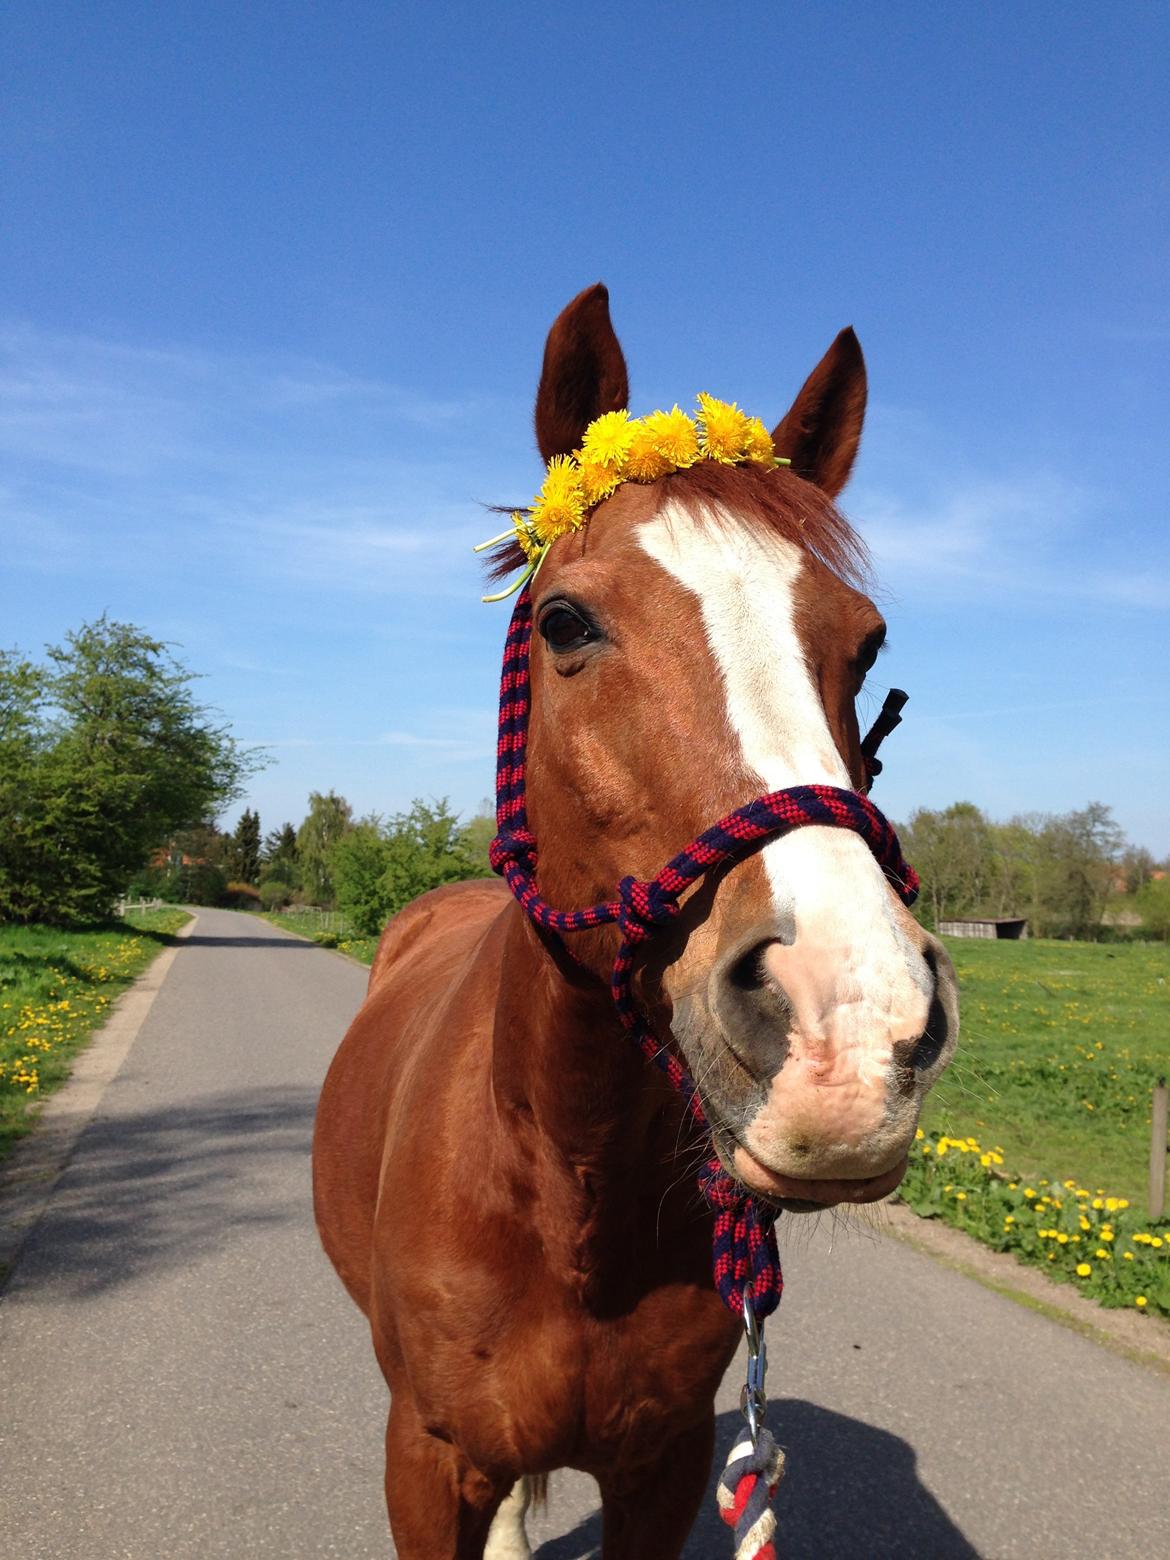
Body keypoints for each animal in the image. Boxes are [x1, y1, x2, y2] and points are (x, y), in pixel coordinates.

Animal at [313, 283, 960, 1560]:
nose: (851, 1025)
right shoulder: (427, 1464)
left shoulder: (663, 1469)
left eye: (869, 647)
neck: (569, 1196)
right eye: (565, 621)